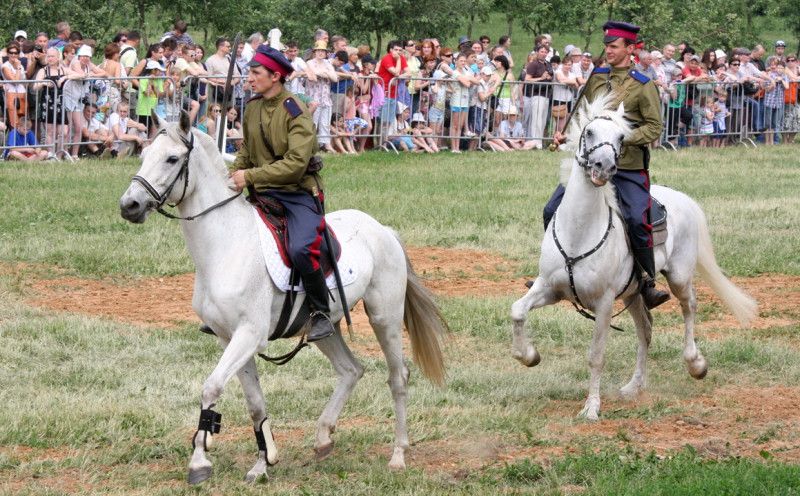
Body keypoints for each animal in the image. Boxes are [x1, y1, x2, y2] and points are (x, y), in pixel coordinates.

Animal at [117, 113, 450, 484]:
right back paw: (323, 438)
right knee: (351, 370)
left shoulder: (249, 335)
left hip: (385, 318)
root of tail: (382, 229)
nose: (129, 205)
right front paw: (263, 462)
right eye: (144, 156)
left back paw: (398, 455)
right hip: (325, 328)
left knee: (397, 377)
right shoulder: (229, 338)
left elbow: (211, 387)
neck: (226, 244)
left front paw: (199, 463)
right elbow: (254, 404)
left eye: (172, 159)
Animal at [512, 95, 756, 420]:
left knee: (689, 306)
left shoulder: (603, 303)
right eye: (589, 132)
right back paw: (634, 386)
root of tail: (684, 199)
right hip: (633, 293)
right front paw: (529, 355)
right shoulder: (549, 288)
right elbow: (517, 310)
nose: (604, 167)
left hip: (678, 276)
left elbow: (596, 355)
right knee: (646, 330)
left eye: (620, 137)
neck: (580, 231)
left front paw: (591, 407)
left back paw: (696, 364)